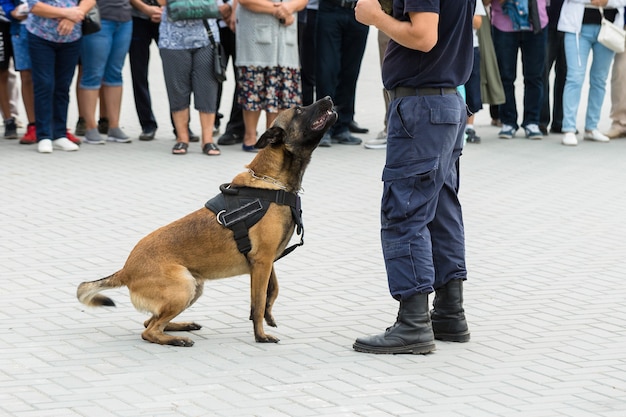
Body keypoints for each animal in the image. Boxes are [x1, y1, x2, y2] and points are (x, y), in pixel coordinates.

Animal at [77, 96, 336, 344]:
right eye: (299, 110)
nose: (328, 98)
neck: (272, 183)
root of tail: (126, 269)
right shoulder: (262, 261)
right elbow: (257, 302)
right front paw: (260, 335)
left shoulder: (267, 261)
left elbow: (272, 292)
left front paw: (268, 316)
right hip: (184, 287)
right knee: (149, 330)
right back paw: (177, 339)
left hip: (194, 286)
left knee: (150, 322)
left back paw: (182, 327)